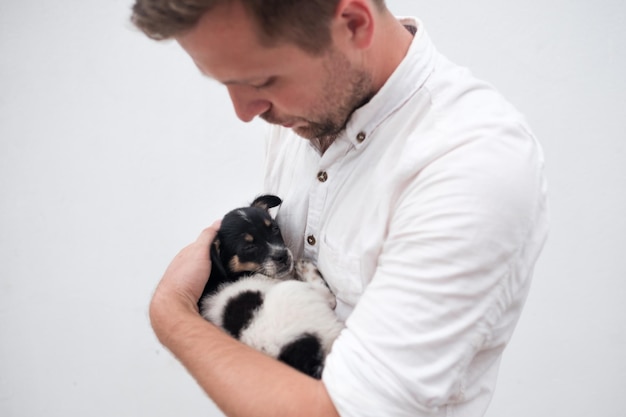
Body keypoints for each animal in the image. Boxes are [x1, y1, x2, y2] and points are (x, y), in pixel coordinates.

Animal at [197, 194, 342, 376]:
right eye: (249, 247)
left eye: (274, 229)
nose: (283, 256)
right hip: (295, 292)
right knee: (328, 297)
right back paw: (305, 266)